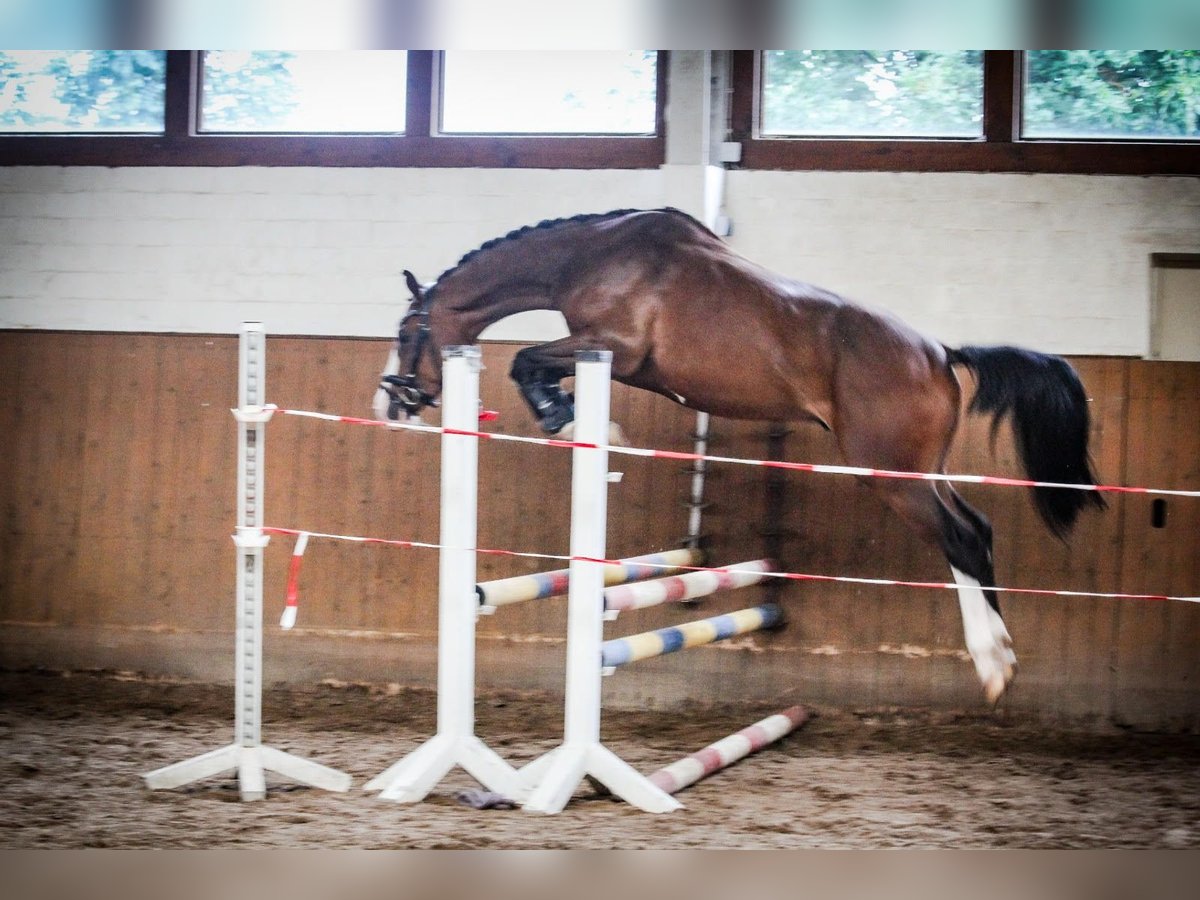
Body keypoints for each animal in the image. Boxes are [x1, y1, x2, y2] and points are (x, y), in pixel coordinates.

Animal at [372, 207, 1099, 710]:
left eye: (407, 332)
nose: (388, 404)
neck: (595, 255)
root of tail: (942, 354)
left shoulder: (616, 347)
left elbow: (527, 362)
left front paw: (572, 419)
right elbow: (535, 365)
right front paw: (576, 417)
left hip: (892, 475)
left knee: (962, 539)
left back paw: (994, 666)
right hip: (923, 471)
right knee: (977, 529)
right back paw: (1000, 657)